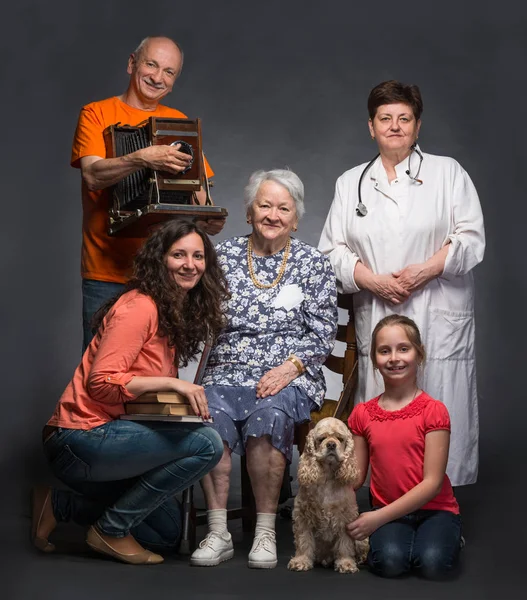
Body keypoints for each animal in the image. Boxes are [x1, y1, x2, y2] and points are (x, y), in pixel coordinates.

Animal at [286, 418, 370, 572]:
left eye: (340, 439)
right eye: (322, 439)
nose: (331, 444)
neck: (327, 478)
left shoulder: (346, 517)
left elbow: (345, 544)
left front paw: (346, 563)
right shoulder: (303, 515)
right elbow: (303, 541)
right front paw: (301, 561)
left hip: (362, 537)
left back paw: (361, 559)